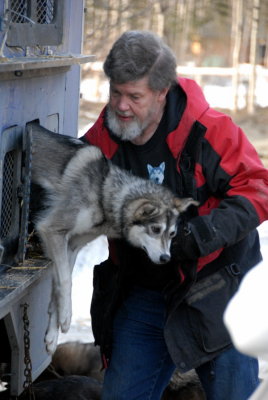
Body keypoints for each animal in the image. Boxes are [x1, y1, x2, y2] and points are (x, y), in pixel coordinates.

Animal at [29, 122, 198, 354]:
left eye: (172, 234)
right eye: (155, 229)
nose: (166, 258)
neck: (103, 191)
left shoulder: (71, 246)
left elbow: (59, 289)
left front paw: (53, 335)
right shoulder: (51, 230)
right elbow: (65, 281)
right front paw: (66, 317)